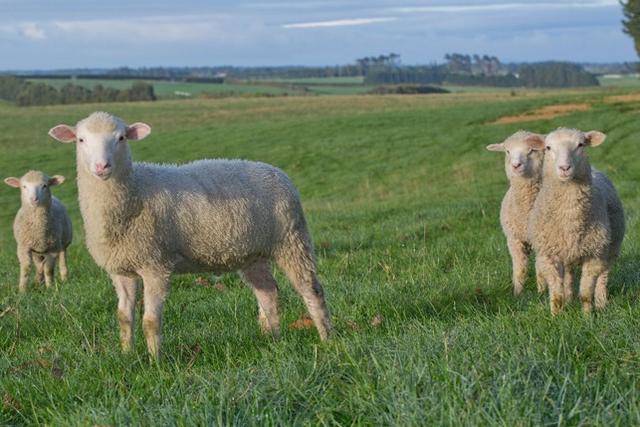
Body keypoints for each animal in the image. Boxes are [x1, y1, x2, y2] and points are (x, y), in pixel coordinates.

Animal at [47, 111, 332, 358]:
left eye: (121, 138)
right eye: (81, 139)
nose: (101, 166)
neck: (135, 192)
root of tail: (278, 172)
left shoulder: (156, 265)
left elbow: (151, 321)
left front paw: (155, 361)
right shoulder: (121, 270)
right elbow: (124, 318)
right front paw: (127, 355)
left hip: (291, 240)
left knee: (311, 290)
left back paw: (327, 337)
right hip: (253, 255)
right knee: (268, 292)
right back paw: (271, 338)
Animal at [488, 132, 548, 296]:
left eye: (532, 150)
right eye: (507, 151)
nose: (515, 165)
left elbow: (540, 268)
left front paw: (541, 292)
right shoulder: (514, 240)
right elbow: (519, 269)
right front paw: (518, 293)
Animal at [528, 128, 624, 314]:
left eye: (581, 144)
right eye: (548, 147)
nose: (564, 168)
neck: (569, 220)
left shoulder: (594, 255)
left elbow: (586, 294)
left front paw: (588, 316)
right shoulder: (547, 256)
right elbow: (556, 295)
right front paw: (556, 315)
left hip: (610, 249)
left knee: (603, 276)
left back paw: (601, 303)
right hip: (567, 254)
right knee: (568, 277)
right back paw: (569, 299)